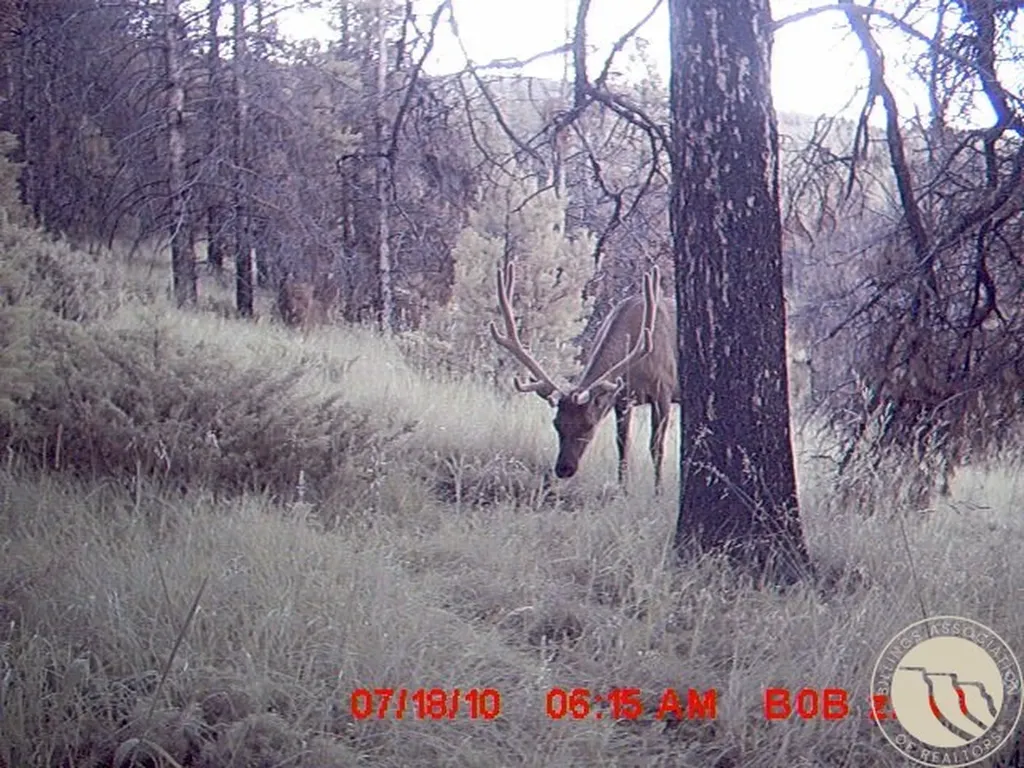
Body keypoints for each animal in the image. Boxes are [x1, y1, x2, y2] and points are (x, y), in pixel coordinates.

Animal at [489, 262, 680, 492]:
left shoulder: (663, 389)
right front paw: (622, 489)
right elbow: (622, 444)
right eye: (556, 423)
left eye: (589, 425)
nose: (564, 469)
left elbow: (656, 446)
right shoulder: (622, 397)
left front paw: (658, 492)